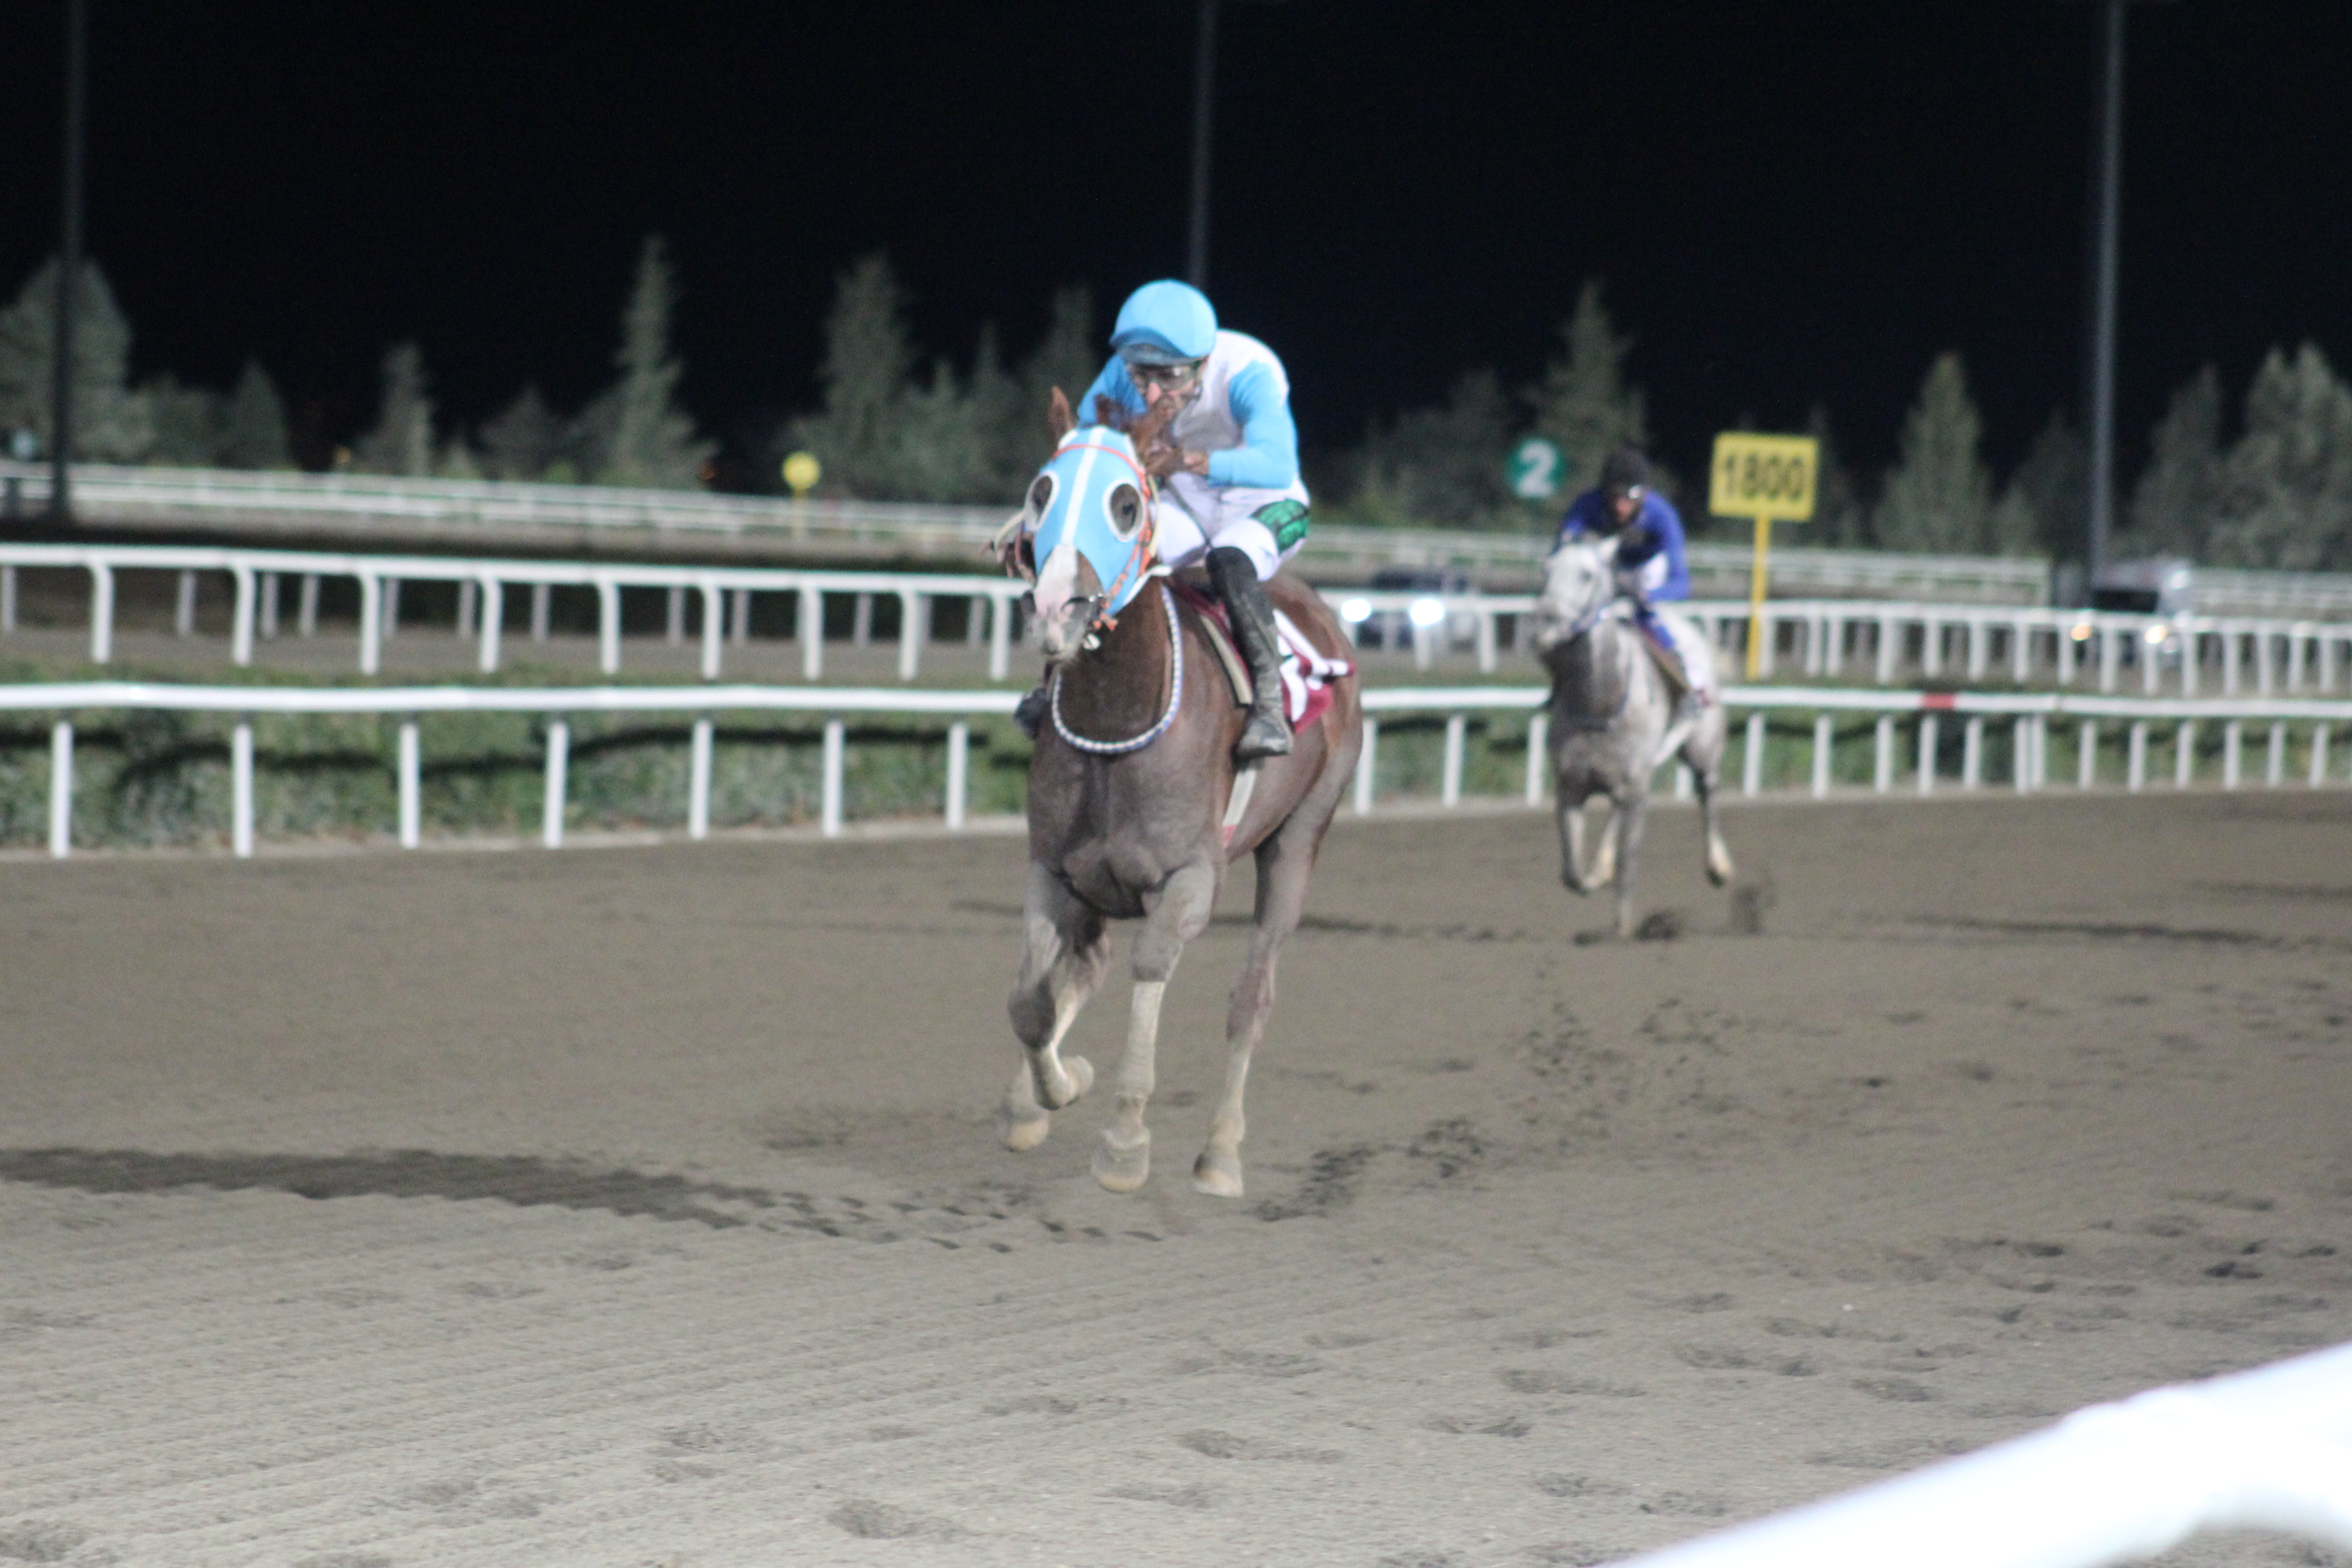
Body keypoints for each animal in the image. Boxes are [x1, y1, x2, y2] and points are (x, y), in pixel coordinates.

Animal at [995, 389, 1363, 1196]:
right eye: (1041, 491)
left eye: (1126, 503)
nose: (1058, 607)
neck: (1117, 712)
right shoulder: (1053, 868)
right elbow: (1032, 1001)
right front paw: (1048, 1092)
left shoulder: (1189, 879)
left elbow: (1149, 968)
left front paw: (1125, 1142)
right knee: (1086, 966)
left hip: (1300, 839)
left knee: (1251, 998)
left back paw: (1221, 1153)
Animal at [1528, 536, 1735, 938]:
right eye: (1545, 570)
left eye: (1587, 575)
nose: (1544, 622)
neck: (1600, 703)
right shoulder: (1570, 785)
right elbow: (1572, 873)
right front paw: (1593, 878)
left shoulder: (1639, 788)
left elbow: (1629, 861)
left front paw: (1622, 929)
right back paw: (1601, 867)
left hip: (1702, 750)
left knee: (1708, 794)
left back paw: (1718, 866)